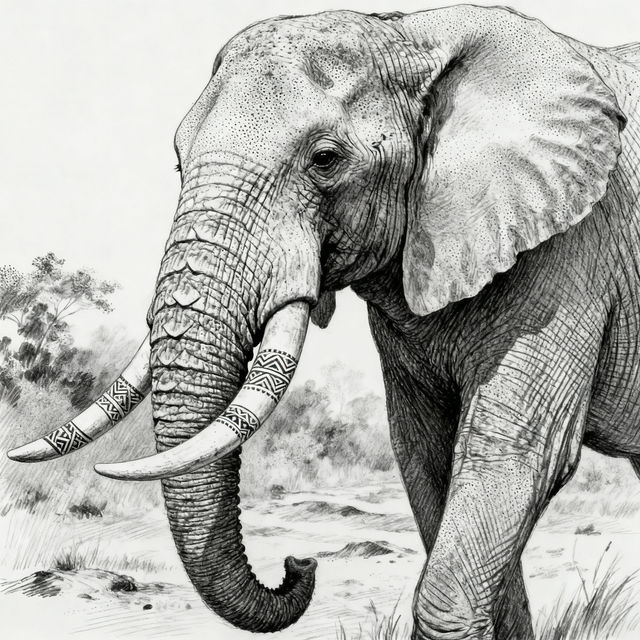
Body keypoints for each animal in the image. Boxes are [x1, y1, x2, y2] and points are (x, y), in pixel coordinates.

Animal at [8, 4, 640, 639]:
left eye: (326, 159)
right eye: (179, 159)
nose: (298, 563)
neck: (410, 35)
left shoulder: (572, 251)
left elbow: (516, 452)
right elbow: (426, 452)